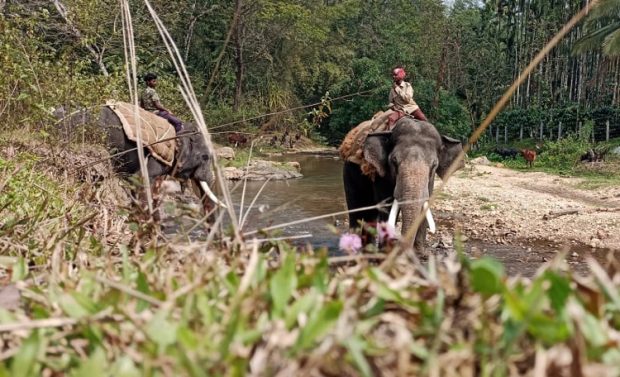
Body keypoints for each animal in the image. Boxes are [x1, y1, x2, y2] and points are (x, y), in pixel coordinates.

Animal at [342, 117, 462, 253]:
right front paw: (385, 253)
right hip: (349, 172)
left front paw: (420, 253)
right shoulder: (381, 174)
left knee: (370, 214)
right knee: (355, 210)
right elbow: (387, 206)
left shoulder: (430, 181)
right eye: (394, 161)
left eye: (434, 165)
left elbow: (425, 203)